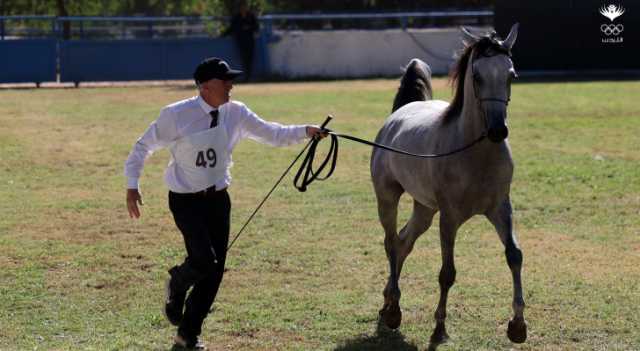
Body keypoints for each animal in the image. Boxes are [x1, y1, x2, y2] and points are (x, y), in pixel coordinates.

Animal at [370, 24, 524, 346]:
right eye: (477, 77)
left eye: (511, 75)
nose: (497, 130)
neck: (475, 154)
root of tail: (399, 114)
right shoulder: (449, 218)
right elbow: (447, 273)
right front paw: (439, 329)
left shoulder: (501, 209)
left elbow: (514, 256)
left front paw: (518, 326)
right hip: (387, 198)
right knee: (391, 243)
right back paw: (393, 311)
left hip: (424, 209)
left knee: (403, 242)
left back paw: (388, 301)